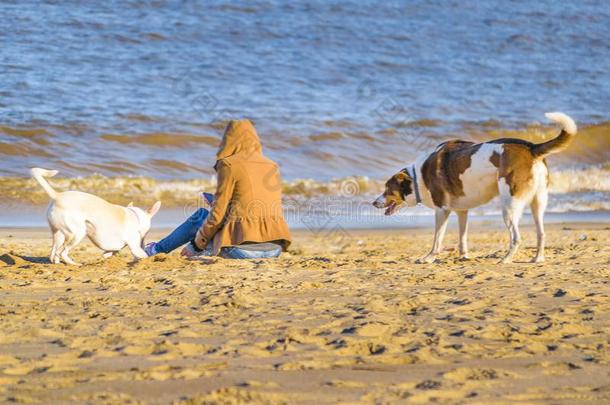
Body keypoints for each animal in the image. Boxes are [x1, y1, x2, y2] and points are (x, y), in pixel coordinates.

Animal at [31, 167, 160, 266]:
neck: (135, 216)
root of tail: (57, 196)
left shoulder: (113, 249)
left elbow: (110, 253)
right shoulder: (134, 247)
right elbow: (143, 254)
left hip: (58, 234)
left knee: (54, 252)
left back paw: (58, 263)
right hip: (78, 233)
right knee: (62, 252)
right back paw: (75, 264)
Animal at [370, 111, 576, 262]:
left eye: (387, 189)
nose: (373, 203)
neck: (418, 175)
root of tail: (531, 147)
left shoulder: (442, 210)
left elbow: (437, 240)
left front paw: (428, 258)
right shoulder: (462, 211)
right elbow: (462, 237)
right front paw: (464, 256)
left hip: (509, 207)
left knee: (516, 238)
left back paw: (506, 259)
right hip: (537, 204)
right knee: (541, 233)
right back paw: (537, 259)